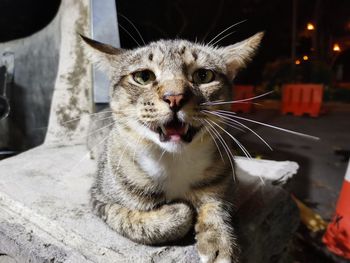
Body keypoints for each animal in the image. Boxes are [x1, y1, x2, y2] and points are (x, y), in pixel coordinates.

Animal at [81, 32, 262, 263]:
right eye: (143, 77)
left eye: (204, 75)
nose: (174, 97)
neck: (174, 161)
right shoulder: (100, 200)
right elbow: (135, 219)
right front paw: (178, 211)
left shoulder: (226, 185)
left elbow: (216, 207)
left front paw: (219, 243)